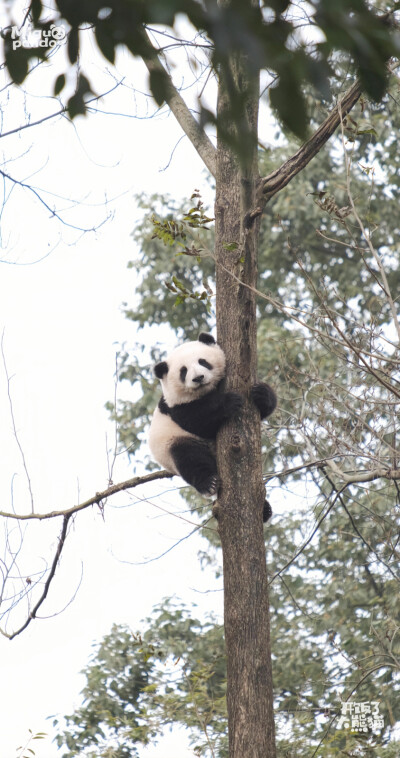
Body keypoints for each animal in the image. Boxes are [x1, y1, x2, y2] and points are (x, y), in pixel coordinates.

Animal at [148, 334, 276, 520]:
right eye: (183, 371)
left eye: (203, 361)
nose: (198, 378)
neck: (206, 392)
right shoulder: (176, 408)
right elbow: (200, 420)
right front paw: (229, 402)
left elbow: (263, 407)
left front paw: (261, 393)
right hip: (172, 443)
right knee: (189, 457)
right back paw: (209, 483)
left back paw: (265, 510)